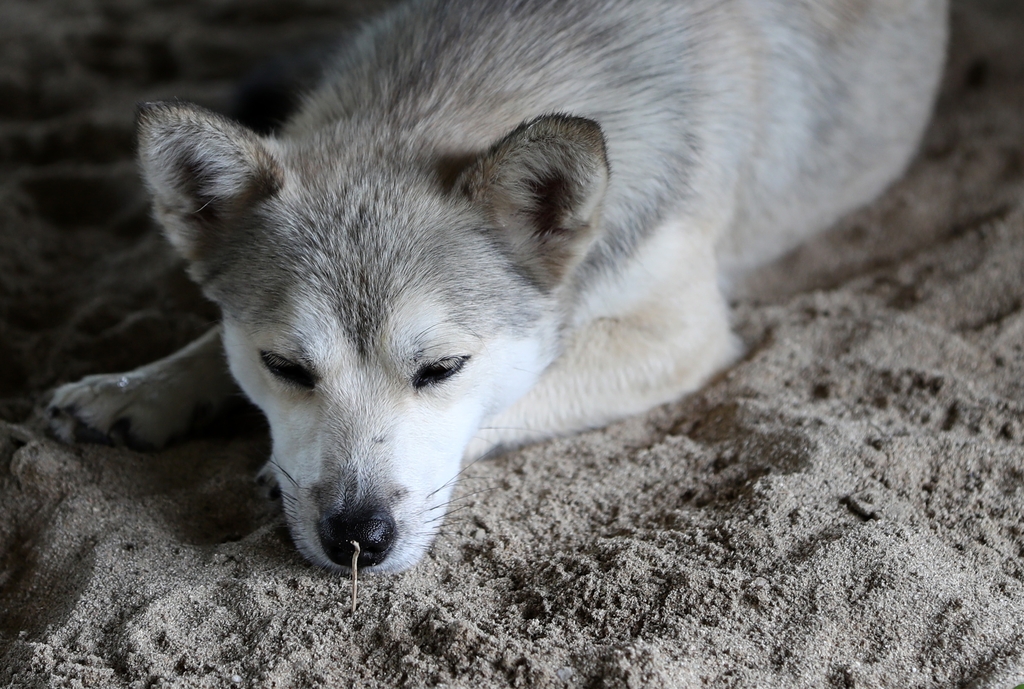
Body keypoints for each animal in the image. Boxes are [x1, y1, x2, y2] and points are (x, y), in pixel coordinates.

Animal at [46, 0, 942, 573]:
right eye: (287, 368)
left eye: (442, 369)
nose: (357, 538)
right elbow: (211, 341)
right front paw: (138, 389)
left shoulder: (682, 334)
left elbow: (519, 394)